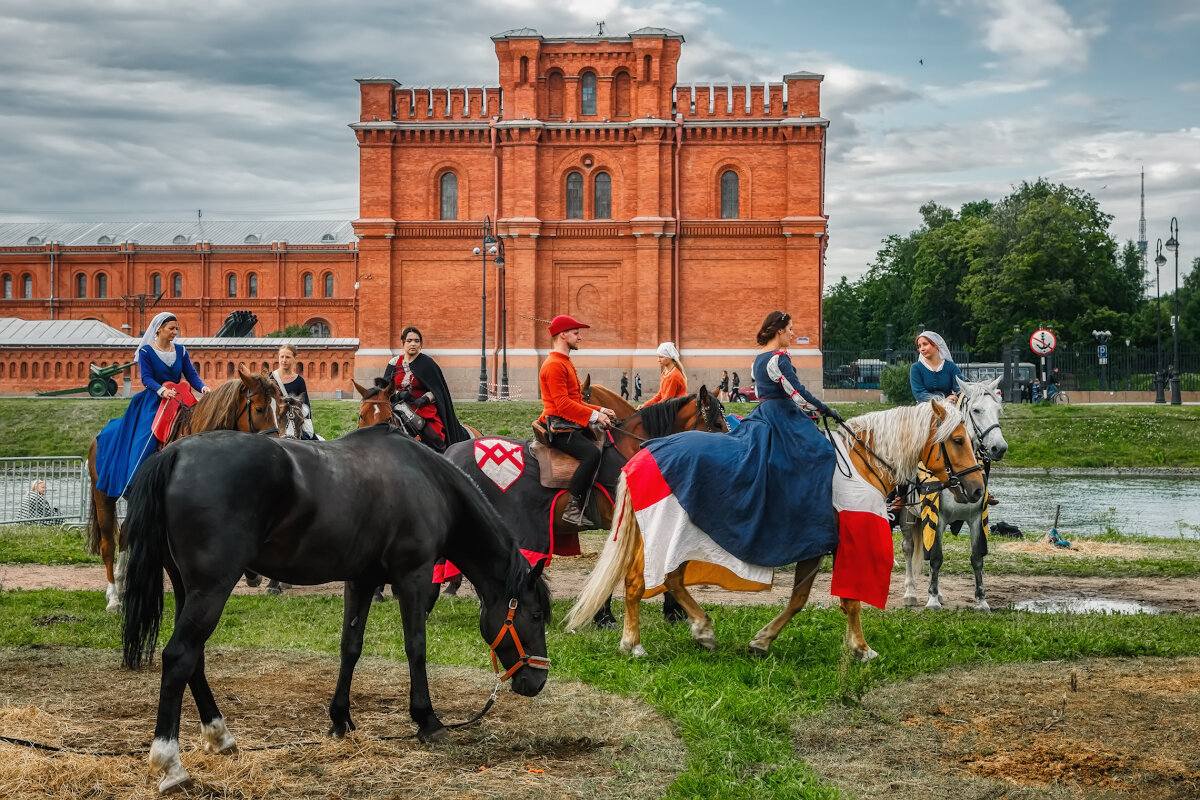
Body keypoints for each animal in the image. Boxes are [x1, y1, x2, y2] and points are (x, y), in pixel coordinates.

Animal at [85, 367, 284, 614]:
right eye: (259, 409)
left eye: (279, 407)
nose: (278, 446)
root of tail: (99, 436)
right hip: (103, 497)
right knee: (108, 544)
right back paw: (113, 597)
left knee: (124, 535)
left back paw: (122, 587)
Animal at [117, 424, 549, 796]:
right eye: (536, 615)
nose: (537, 681)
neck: (428, 482)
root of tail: (175, 453)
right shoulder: (413, 577)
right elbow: (416, 648)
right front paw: (428, 720)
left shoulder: (361, 580)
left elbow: (350, 647)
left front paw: (340, 719)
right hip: (211, 589)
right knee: (179, 656)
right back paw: (170, 765)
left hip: (187, 589)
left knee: (195, 659)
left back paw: (220, 736)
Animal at [566, 402, 988, 662]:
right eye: (957, 440)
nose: (977, 489)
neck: (859, 465)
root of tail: (641, 454)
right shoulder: (843, 545)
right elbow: (849, 601)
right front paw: (861, 648)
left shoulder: (815, 549)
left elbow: (799, 599)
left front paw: (762, 640)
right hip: (663, 535)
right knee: (640, 582)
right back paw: (637, 643)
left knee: (665, 580)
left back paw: (694, 630)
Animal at [897, 379, 1008, 609]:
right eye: (976, 410)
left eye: (998, 410)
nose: (999, 447)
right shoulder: (935, 517)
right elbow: (936, 557)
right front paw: (931, 600)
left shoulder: (976, 518)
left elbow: (977, 558)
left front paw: (981, 601)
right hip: (908, 515)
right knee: (909, 548)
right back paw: (910, 592)